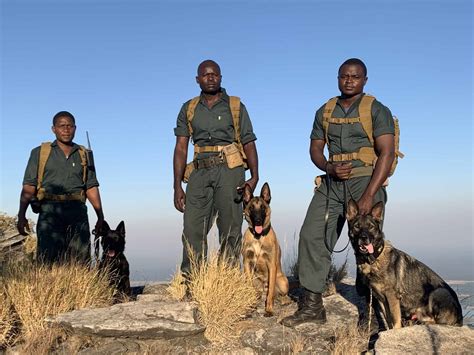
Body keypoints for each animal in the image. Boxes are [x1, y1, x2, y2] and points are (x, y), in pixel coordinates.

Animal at [241, 184, 288, 318]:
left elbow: (270, 292)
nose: (257, 220)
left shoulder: (271, 265)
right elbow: (249, 286)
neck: (258, 237)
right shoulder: (247, 263)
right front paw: (250, 307)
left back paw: (284, 300)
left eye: (262, 208)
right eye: (251, 207)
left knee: (280, 293)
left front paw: (269, 310)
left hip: (283, 282)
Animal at [344, 202, 462, 330]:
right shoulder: (381, 299)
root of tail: (460, 318)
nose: (364, 238)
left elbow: (395, 321)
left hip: (438, 291)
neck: (374, 258)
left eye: (371, 227)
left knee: (442, 323)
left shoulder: (392, 298)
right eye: (357, 226)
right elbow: (389, 321)